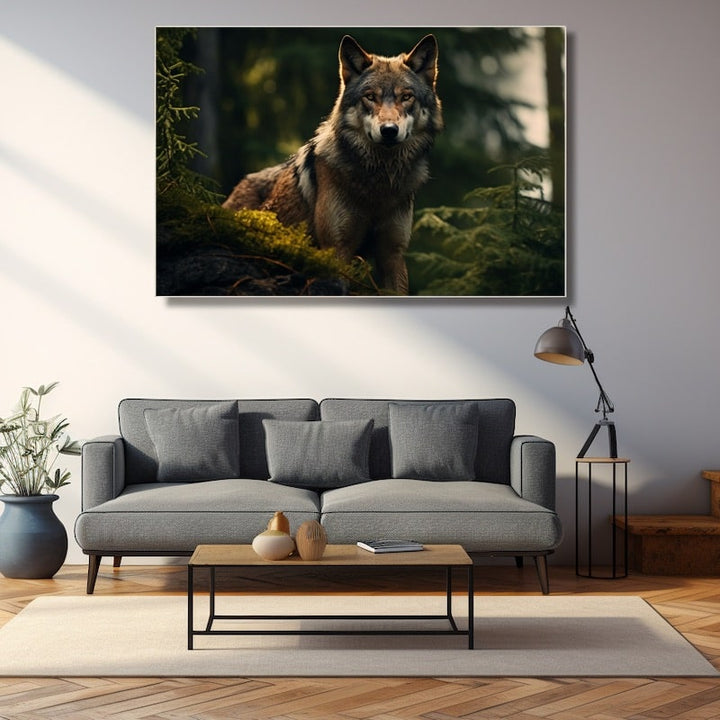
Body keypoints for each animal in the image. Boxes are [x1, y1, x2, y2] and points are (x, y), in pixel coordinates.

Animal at [222, 34, 443, 294]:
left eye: (406, 97)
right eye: (370, 97)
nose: (389, 130)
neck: (377, 183)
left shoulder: (393, 255)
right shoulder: (337, 249)